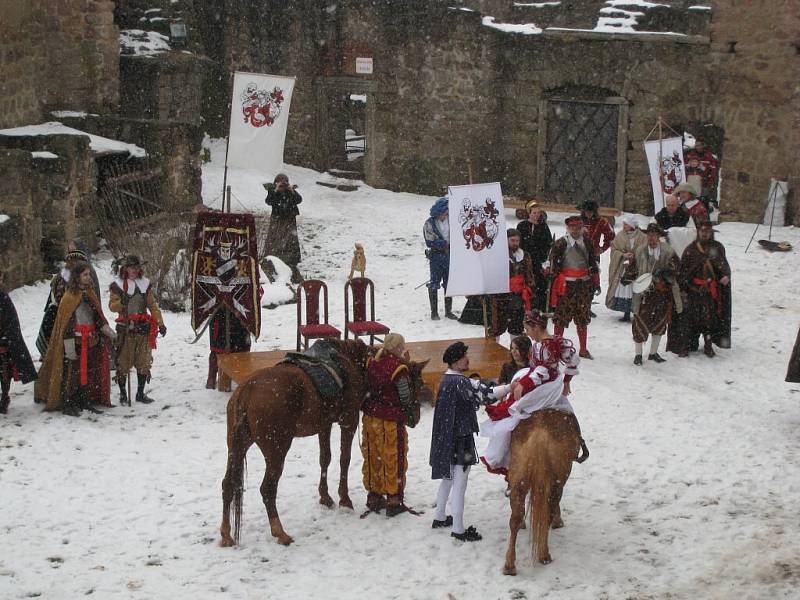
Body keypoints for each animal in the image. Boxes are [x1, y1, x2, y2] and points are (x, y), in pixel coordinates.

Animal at [219, 340, 432, 548]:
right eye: (418, 383)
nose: (415, 418)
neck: (355, 363)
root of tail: (247, 389)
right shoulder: (349, 420)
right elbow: (344, 459)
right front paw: (344, 499)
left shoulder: (324, 424)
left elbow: (325, 458)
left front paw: (325, 497)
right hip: (276, 450)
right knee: (267, 489)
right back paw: (280, 532)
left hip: (236, 447)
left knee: (228, 484)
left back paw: (226, 534)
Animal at [504, 410, 584, 576]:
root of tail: (540, 433)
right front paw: (558, 521)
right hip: (557, 482)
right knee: (547, 515)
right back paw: (544, 555)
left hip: (519, 480)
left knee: (515, 518)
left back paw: (509, 565)